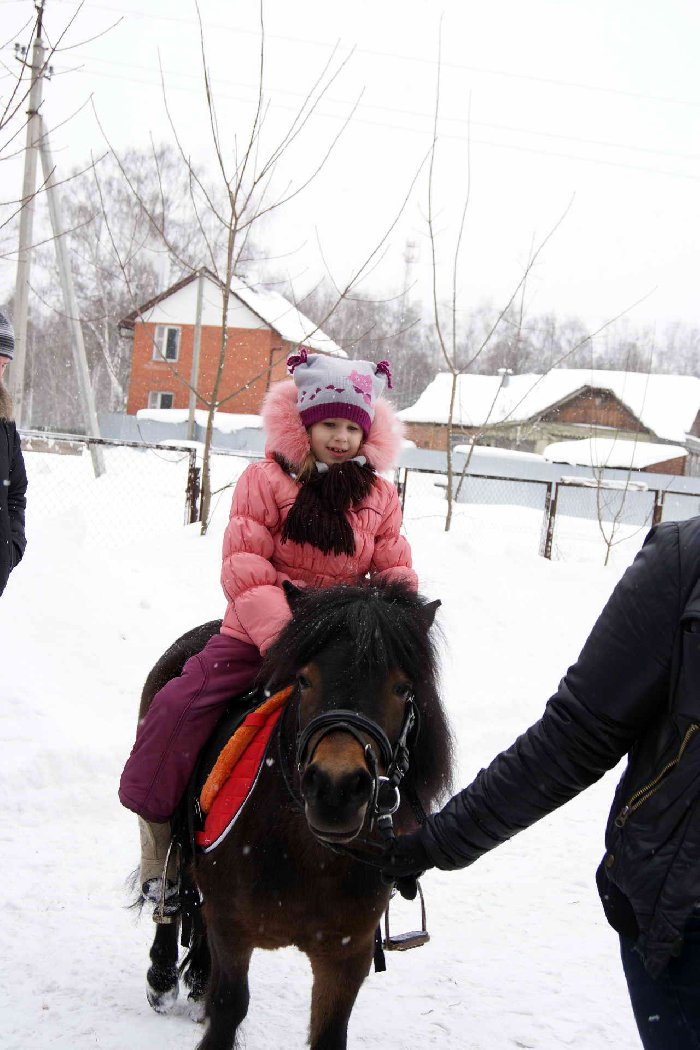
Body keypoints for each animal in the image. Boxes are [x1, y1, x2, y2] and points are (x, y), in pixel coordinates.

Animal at [139, 580, 454, 1049]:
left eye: (402, 688)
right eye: (304, 680)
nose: (335, 790)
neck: (307, 856)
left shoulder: (346, 953)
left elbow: (329, 1031)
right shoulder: (233, 930)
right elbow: (228, 1010)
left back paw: (195, 981)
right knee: (170, 886)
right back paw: (162, 977)